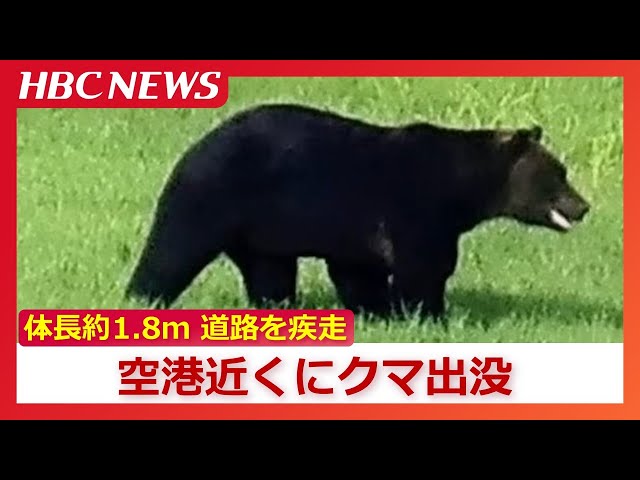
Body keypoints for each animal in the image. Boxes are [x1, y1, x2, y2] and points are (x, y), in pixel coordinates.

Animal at [125, 103, 590, 319]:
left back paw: (278, 311)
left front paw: (376, 311)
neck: (461, 184)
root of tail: (198, 145)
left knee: (269, 272)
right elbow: (423, 265)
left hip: (263, 230)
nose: (583, 206)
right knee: (171, 251)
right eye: (558, 175)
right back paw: (141, 300)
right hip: (210, 197)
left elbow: (358, 270)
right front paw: (427, 314)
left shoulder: (355, 224)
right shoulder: (415, 205)